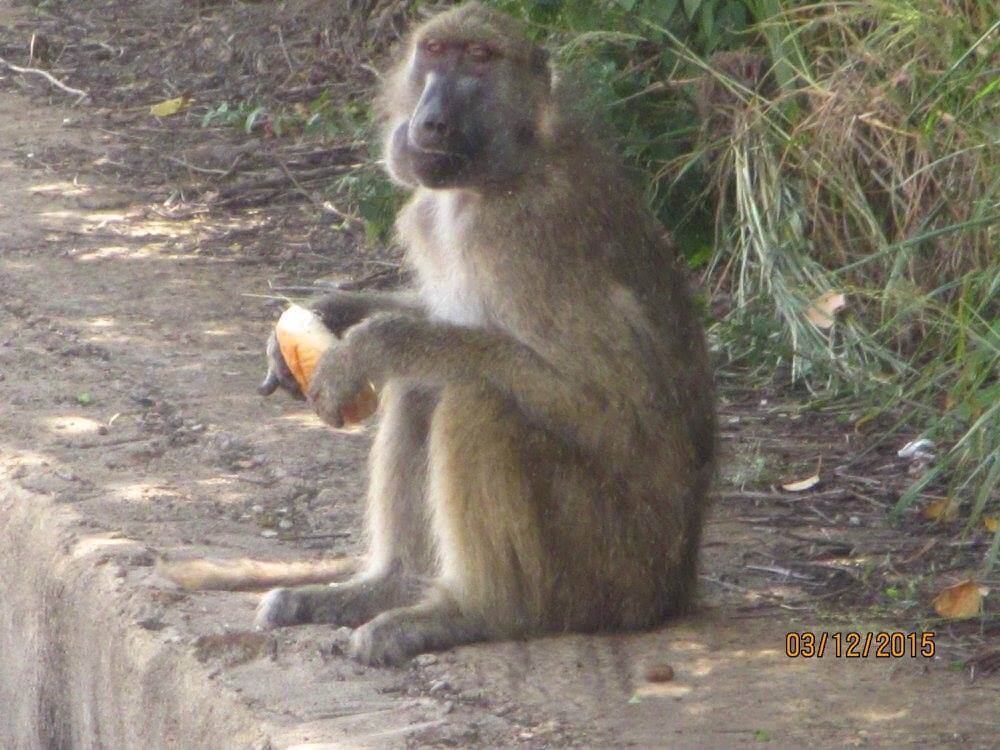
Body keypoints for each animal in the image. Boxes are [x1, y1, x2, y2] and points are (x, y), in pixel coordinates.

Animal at [165, 1, 716, 666]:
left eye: (478, 60)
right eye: (433, 53)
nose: (429, 120)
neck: (496, 176)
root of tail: (678, 584)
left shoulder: (531, 236)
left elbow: (611, 405)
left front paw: (373, 345)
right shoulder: (433, 215)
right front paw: (333, 312)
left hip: (612, 564)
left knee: (477, 400)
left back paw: (473, 612)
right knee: (424, 389)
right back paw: (382, 588)